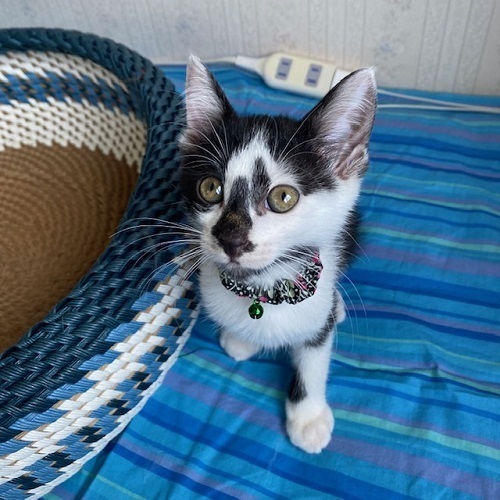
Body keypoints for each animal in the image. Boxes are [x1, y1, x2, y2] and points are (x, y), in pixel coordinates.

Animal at [178, 55, 377, 453]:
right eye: (210, 188)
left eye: (283, 197)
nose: (230, 239)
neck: (264, 290)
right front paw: (241, 339)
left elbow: (313, 360)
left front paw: (308, 417)